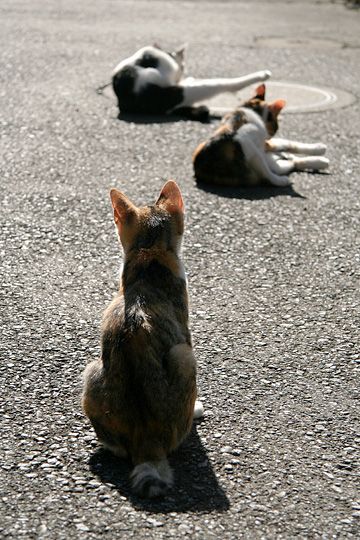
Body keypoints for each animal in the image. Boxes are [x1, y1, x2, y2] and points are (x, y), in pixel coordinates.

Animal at [82, 181, 204, 498]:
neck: (151, 252)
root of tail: (147, 442)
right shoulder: (184, 329)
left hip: (92, 369)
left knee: (116, 446)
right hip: (184, 355)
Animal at [194, 83, 330, 187]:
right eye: (275, 125)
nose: (271, 134)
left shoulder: (259, 146)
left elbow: (285, 147)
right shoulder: (249, 145)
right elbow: (268, 171)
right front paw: (279, 181)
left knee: (288, 156)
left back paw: (319, 157)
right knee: (288, 162)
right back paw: (320, 160)